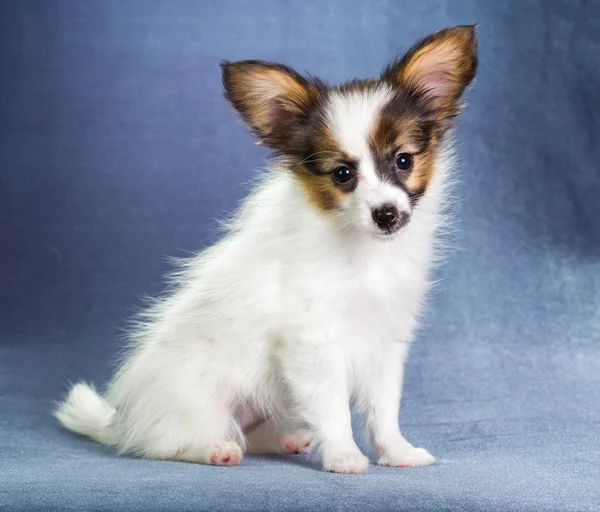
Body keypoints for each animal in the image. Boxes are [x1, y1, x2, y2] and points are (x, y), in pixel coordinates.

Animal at [55, 24, 478, 472]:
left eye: (403, 160)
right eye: (342, 174)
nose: (387, 215)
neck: (362, 249)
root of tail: (121, 421)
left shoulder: (385, 342)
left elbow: (384, 408)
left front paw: (397, 452)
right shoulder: (312, 344)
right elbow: (333, 409)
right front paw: (344, 456)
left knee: (248, 433)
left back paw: (285, 439)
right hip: (198, 405)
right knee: (169, 443)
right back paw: (215, 450)